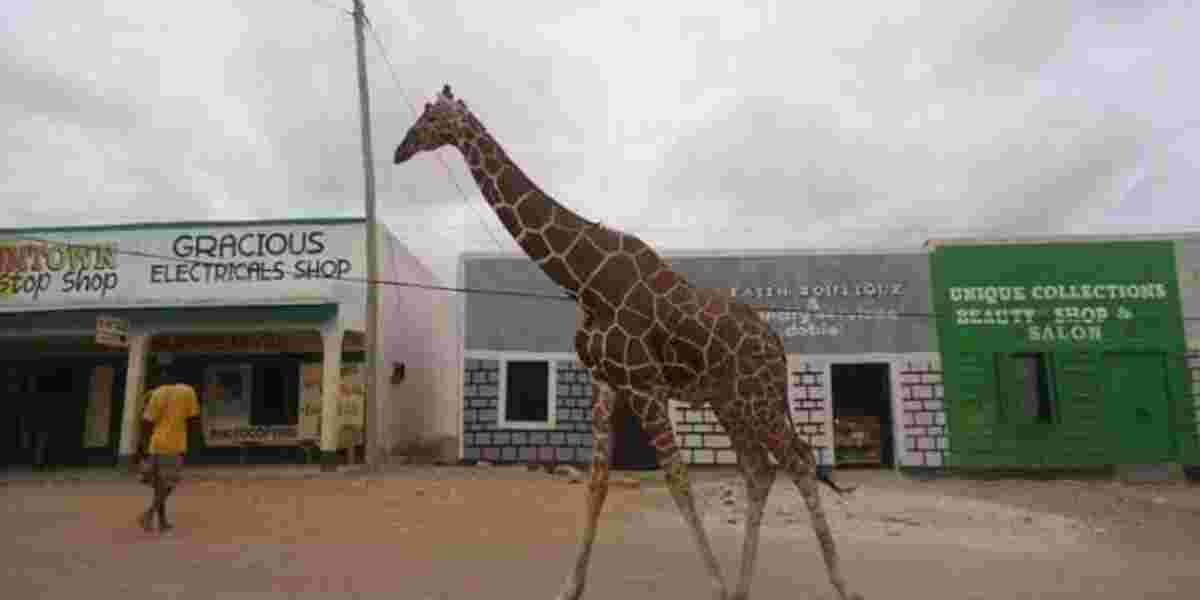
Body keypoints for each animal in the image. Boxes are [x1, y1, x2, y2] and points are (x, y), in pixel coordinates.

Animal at [393, 85, 864, 600]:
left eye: (432, 117)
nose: (400, 150)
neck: (585, 280)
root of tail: (777, 345)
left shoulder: (643, 384)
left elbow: (677, 478)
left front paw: (715, 585)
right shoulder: (607, 384)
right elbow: (597, 483)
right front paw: (569, 588)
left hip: (755, 397)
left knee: (798, 460)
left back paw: (842, 586)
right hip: (730, 402)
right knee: (759, 470)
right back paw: (744, 588)